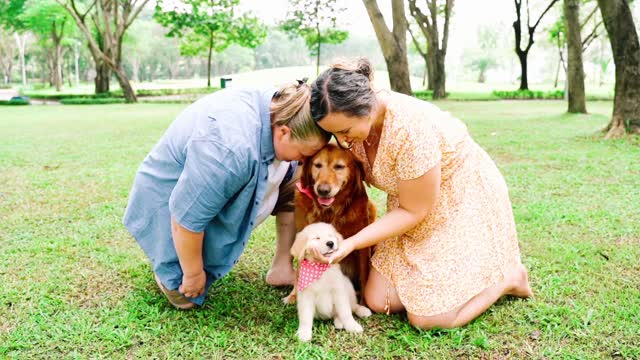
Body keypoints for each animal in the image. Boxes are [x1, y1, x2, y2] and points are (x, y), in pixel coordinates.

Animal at [284, 143, 376, 304]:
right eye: (317, 165)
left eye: (339, 166)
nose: (323, 190)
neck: (330, 210)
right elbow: (299, 270)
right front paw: (294, 295)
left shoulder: (363, 246)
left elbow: (365, 275)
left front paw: (363, 304)